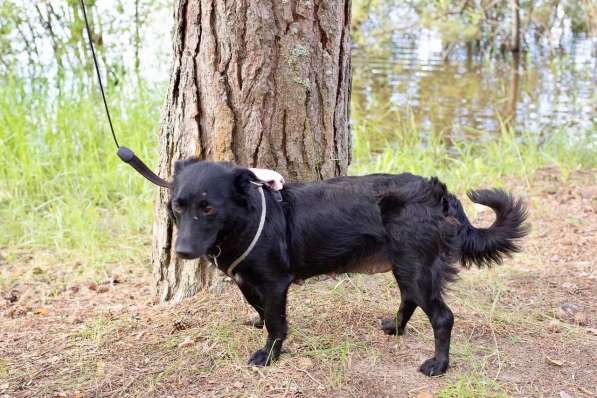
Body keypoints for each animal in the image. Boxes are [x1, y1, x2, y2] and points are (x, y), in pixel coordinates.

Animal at [166, 159, 528, 376]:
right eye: (177, 206)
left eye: (208, 208)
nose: (182, 251)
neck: (249, 219)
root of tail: (436, 192)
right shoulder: (249, 281)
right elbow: (260, 309)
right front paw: (259, 325)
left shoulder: (275, 282)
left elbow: (275, 322)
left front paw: (268, 355)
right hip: (406, 265)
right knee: (409, 299)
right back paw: (395, 328)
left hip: (416, 267)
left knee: (442, 317)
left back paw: (439, 364)